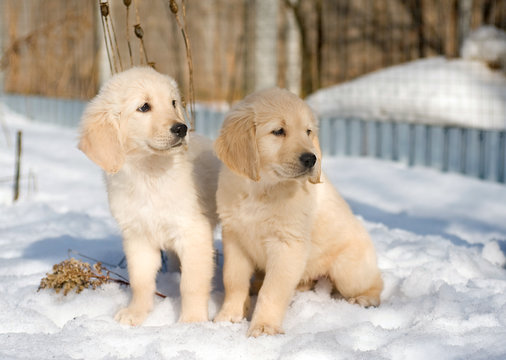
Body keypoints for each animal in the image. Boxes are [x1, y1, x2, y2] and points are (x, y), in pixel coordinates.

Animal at [78, 66, 219, 324]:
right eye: (144, 107)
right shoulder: (138, 237)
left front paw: (192, 322)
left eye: (173, 103)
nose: (182, 128)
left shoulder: (193, 232)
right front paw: (136, 313)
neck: (150, 173)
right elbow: (141, 281)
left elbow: (191, 284)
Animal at [213, 88, 384, 338]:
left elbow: (272, 290)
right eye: (278, 131)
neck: (261, 190)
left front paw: (264, 327)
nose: (311, 158)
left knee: (376, 281)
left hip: (347, 270)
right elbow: (233, 280)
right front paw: (229, 316)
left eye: (308, 132)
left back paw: (365, 299)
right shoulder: (235, 237)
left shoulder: (287, 244)